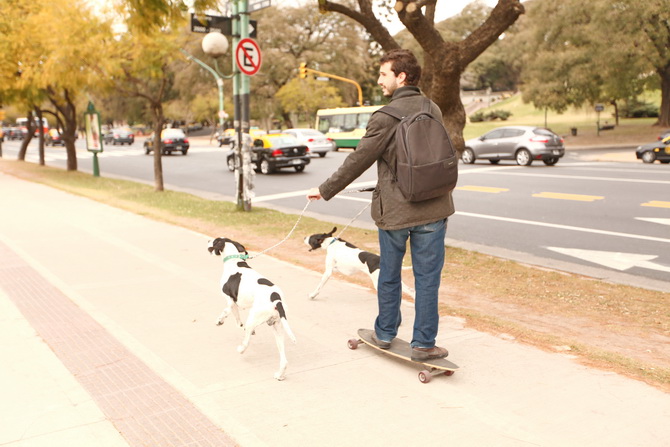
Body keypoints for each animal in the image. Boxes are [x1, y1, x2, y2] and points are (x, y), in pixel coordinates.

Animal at [207, 238, 296, 382]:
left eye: (215, 241)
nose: (209, 240)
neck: (234, 261)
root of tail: (277, 299)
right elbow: (237, 319)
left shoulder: (230, 300)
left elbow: (230, 313)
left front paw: (220, 320)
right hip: (277, 329)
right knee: (284, 360)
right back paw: (279, 375)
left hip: (255, 318)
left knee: (246, 341)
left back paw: (241, 348)